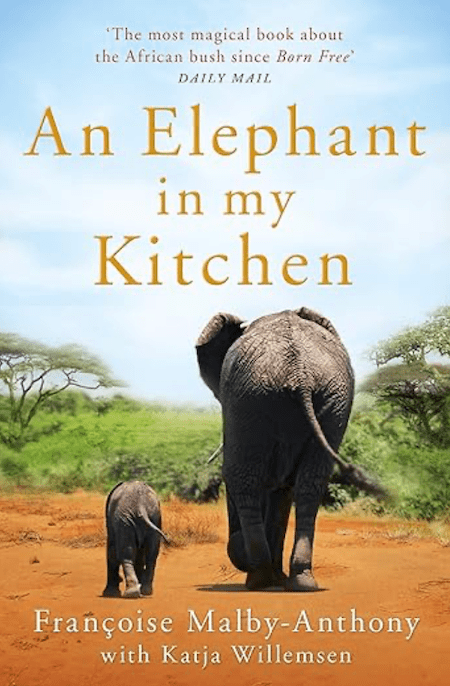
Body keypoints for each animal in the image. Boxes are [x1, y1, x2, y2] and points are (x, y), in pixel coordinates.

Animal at [196, 307, 385, 592]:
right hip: (330, 400)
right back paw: (299, 580)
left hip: (250, 398)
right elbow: (282, 490)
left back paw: (260, 578)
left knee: (243, 478)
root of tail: (299, 373)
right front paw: (278, 577)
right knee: (310, 484)